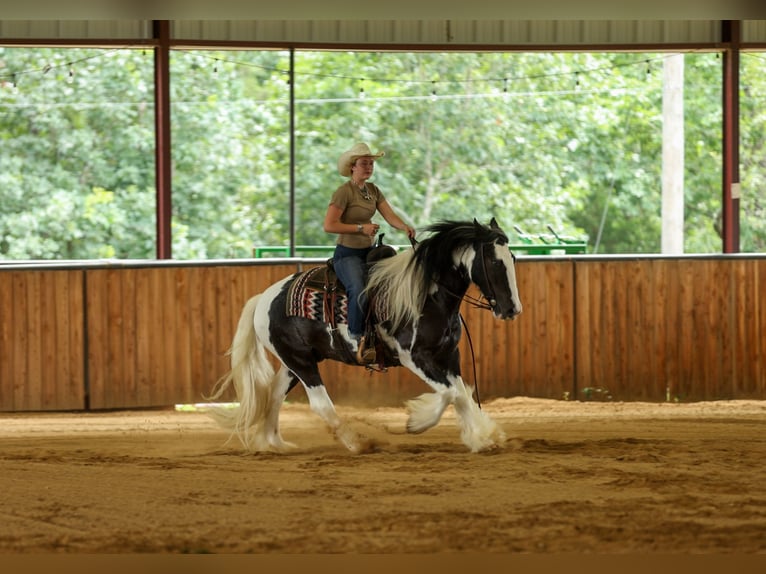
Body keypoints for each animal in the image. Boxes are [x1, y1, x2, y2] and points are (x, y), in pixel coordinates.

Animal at [207, 218, 522, 453]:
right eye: (494, 262)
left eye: (513, 258)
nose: (512, 309)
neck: (426, 294)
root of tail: (264, 298)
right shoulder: (414, 357)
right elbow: (451, 392)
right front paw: (416, 422)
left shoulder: (448, 354)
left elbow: (462, 393)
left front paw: (482, 437)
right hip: (300, 361)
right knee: (320, 404)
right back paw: (357, 443)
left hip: (295, 361)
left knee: (274, 394)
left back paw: (274, 442)